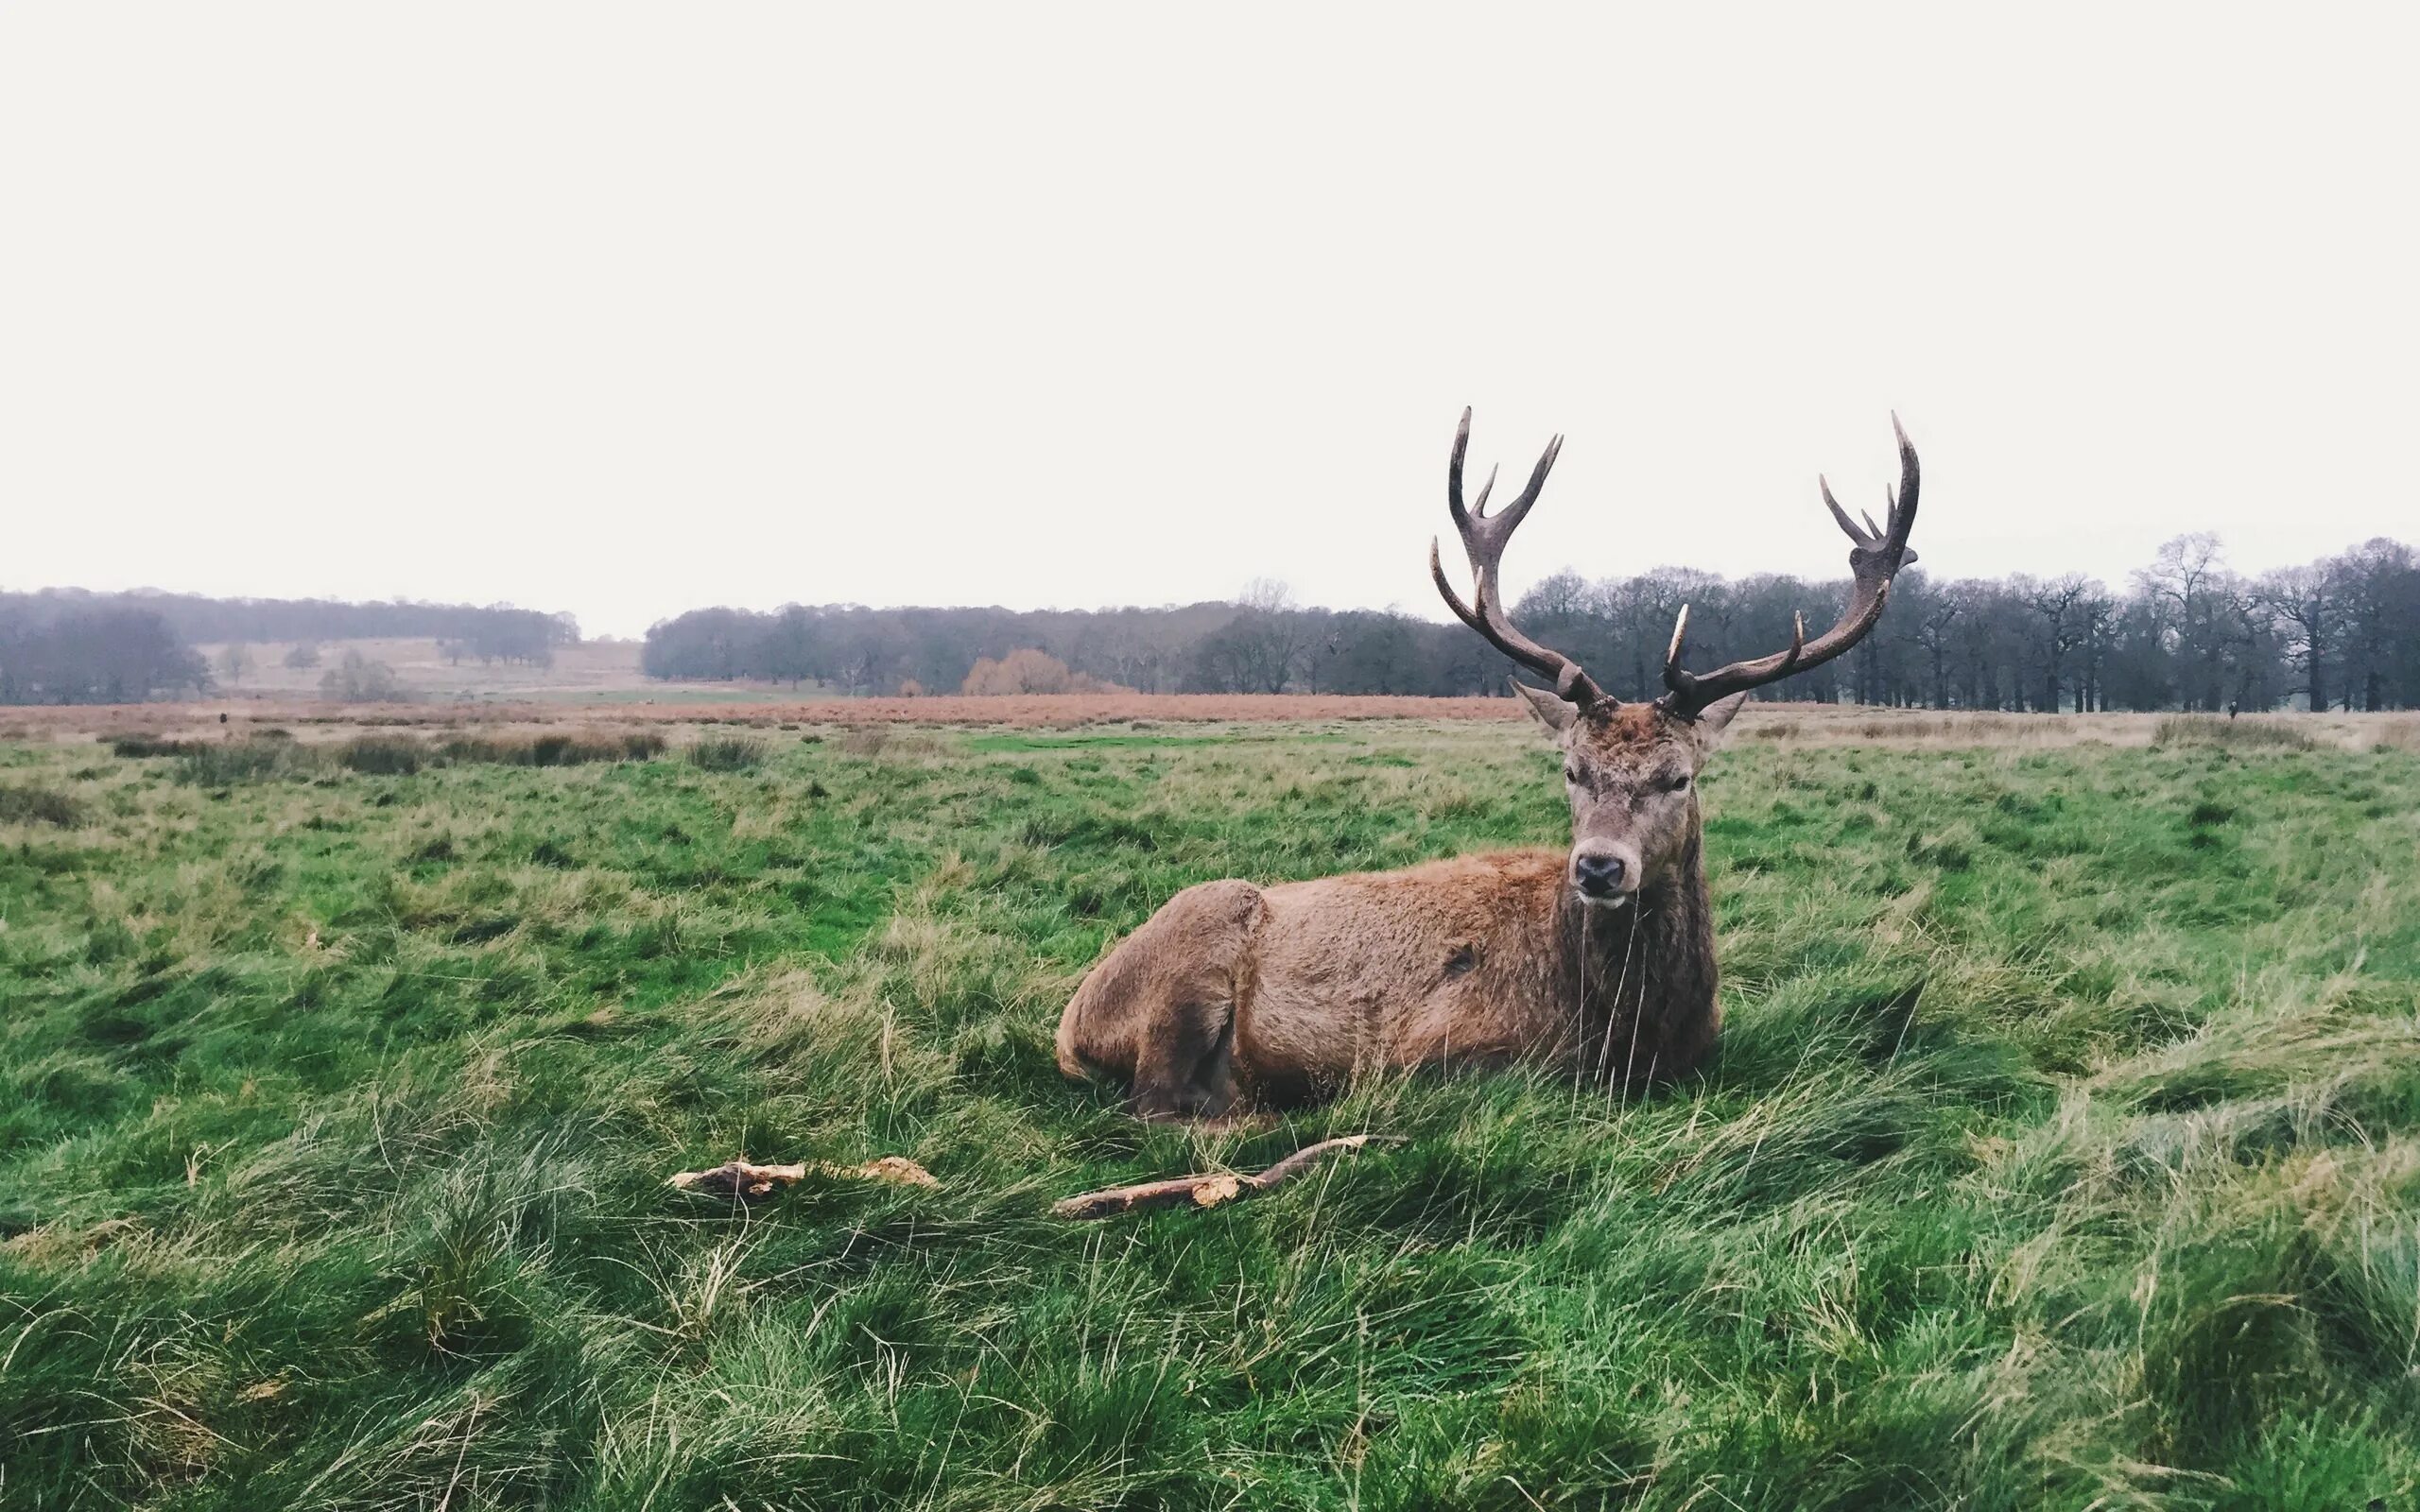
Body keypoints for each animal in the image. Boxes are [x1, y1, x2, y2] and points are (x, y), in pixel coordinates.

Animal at [1050, 413, 1916, 1122]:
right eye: (1570, 769)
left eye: (1680, 777)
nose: (1599, 867)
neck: (1632, 1032)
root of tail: (1072, 1020)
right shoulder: (1440, 1051)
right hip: (1191, 961)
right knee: (1158, 1104)